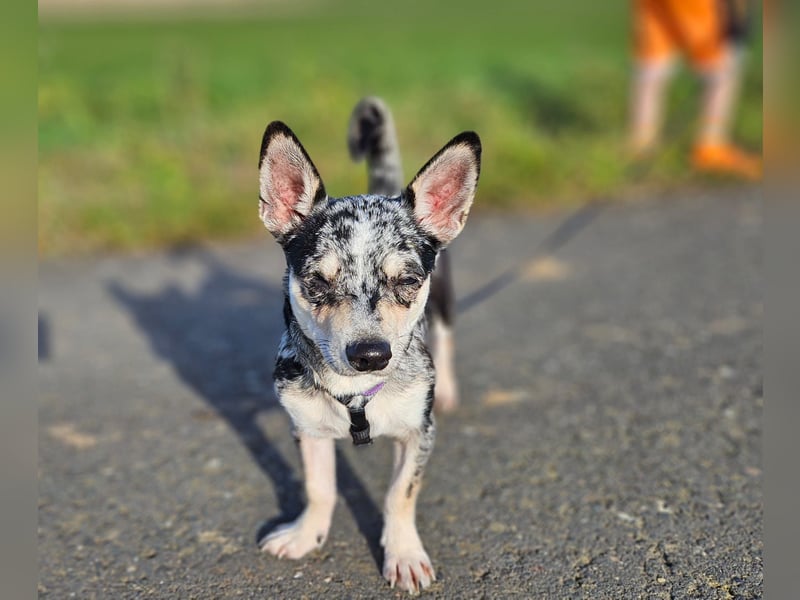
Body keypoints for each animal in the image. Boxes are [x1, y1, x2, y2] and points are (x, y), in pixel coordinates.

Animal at [258, 98, 482, 596]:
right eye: (318, 282)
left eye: (408, 281)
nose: (370, 355)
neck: (356, 393)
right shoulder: (308, 427)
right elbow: (319, 487)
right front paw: (306, 535)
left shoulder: (419, 431)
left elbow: (400, 494)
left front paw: (404, 555)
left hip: (445, 301)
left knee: (447, 337)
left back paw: (450, 388)